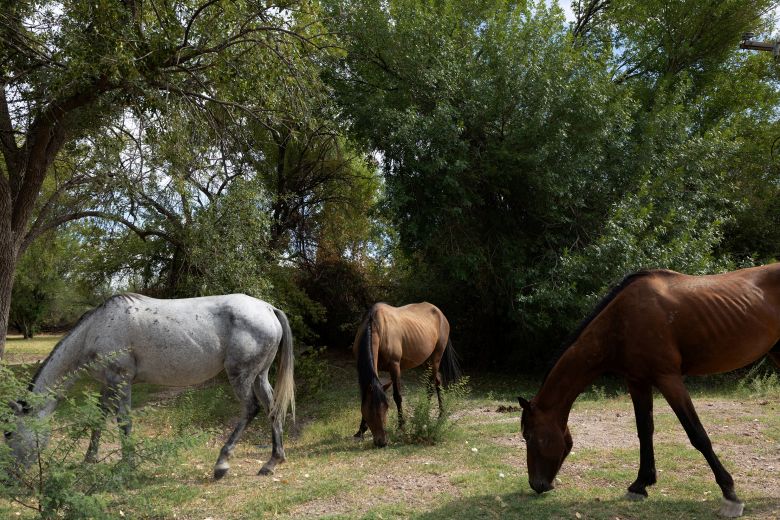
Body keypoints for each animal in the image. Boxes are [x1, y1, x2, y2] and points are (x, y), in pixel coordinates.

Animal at [5, 293, 295, 480]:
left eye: (8, 433)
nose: (10, 476)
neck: (94, 330)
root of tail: (268, 308)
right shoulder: (108, 383)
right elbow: (98, 419)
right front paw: (88, 461)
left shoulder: (121, 380)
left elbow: (123, 421)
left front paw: (126, 465)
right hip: (259, 376)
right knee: (271, 407)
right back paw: (271, 463)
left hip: (241, 375)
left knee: (251, 409)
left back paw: (221, 464)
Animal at [353, 302, 461, 447]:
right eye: (370, 409)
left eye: (386, 408)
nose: (382, 442)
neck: (376, 325)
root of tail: (440, 313)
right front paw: (360, 431)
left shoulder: (394, 366)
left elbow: (397, 396)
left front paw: (401, 427)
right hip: (426, 360)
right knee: (437, 381)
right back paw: (438, 414)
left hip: (436, 358)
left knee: (431, 386)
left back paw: (429, 414)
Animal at [517, 266, 780, 518]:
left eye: (528, 435)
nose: (536, 485)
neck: (622, 320)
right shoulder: (638, 382)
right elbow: (644, 431)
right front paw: (640, 484)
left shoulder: (669, 379)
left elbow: (697, 435)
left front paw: (730, 494)